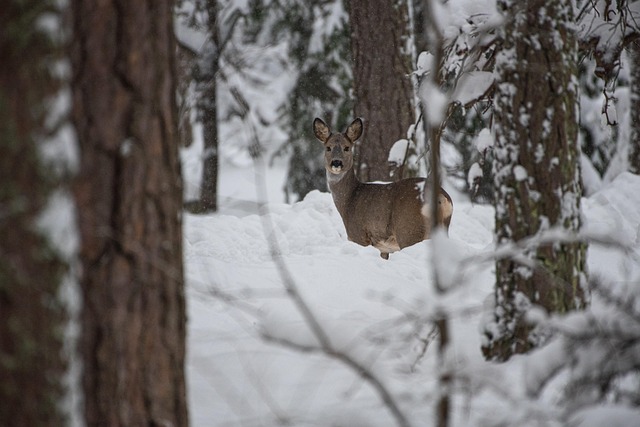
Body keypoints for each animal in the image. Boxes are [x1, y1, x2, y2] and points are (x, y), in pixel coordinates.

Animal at [313, 117, 453, 259]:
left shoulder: (358, 235)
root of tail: (442, 197)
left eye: (346, 148)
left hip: (409, 231)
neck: (350, 199)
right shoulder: (384, 248)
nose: (336, 162)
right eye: (328, 148)